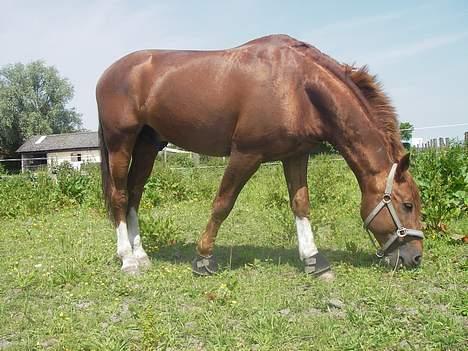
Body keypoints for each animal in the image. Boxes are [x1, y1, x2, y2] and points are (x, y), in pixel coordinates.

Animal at [96, 34, 424, 280]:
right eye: (407, 204)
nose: (416, 257)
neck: (297, 86)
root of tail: (108, 73)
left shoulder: (296, 155)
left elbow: (301, 205)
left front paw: (314, 260)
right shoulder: (246, 154)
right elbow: (222, 204)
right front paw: (203, 259)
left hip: (148, 145)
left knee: (135, 195)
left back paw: (141, 254)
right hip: (120, 143)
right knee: (120, 196)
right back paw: (128, 259)